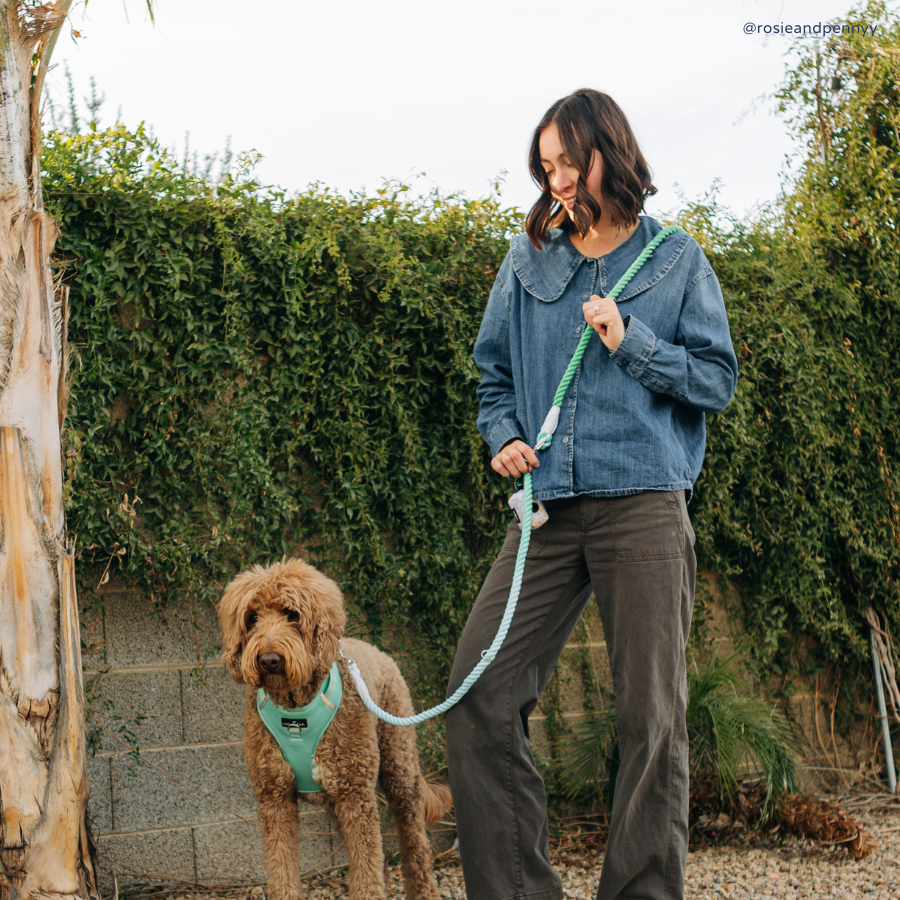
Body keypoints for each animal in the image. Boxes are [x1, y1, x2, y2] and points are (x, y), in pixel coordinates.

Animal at [218, 556, 450, 900]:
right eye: (252, 618)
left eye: (291, 614)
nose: (269, 659)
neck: (295, 707)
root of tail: (377, 650)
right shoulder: (274, 796)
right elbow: (282, 866)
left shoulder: (355, 793)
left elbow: (367, 864)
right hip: (335, 796)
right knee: (376, 855)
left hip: (397, 766)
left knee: (414, 838)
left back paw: (424, 890)